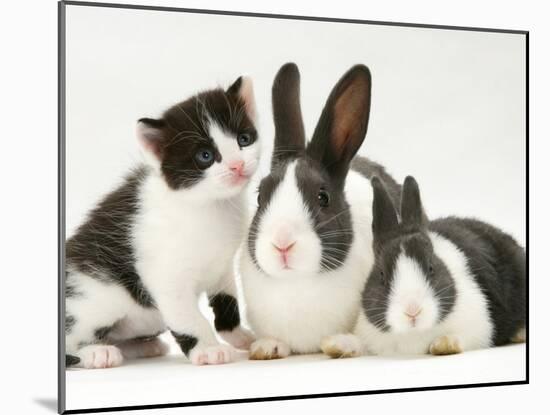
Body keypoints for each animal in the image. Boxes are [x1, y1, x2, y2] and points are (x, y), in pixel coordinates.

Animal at [65, 76, 260, 368]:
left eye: (243, 139)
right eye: (205, 156)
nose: (237, 165)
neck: (210, 205)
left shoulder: (223, 268)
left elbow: (228, 301)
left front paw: (239, 336)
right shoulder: (165, 277)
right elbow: (188, 317)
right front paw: (208, 349)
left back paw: (142, 346)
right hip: (94, 297)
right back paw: (96, 353)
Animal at [237, 62, 402, 360]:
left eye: (323, 197)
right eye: (260, 196)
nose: (282, 243)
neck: (298, 282)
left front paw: (341, 344)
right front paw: (267, 347)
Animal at [324, 176, 528, 358]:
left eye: (431, 267)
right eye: (381, 275)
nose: (412, 310)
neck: (414, 333)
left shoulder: (480, 326)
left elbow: (464, 337)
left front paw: (444, 344)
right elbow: (360, 344)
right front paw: (334, 345)